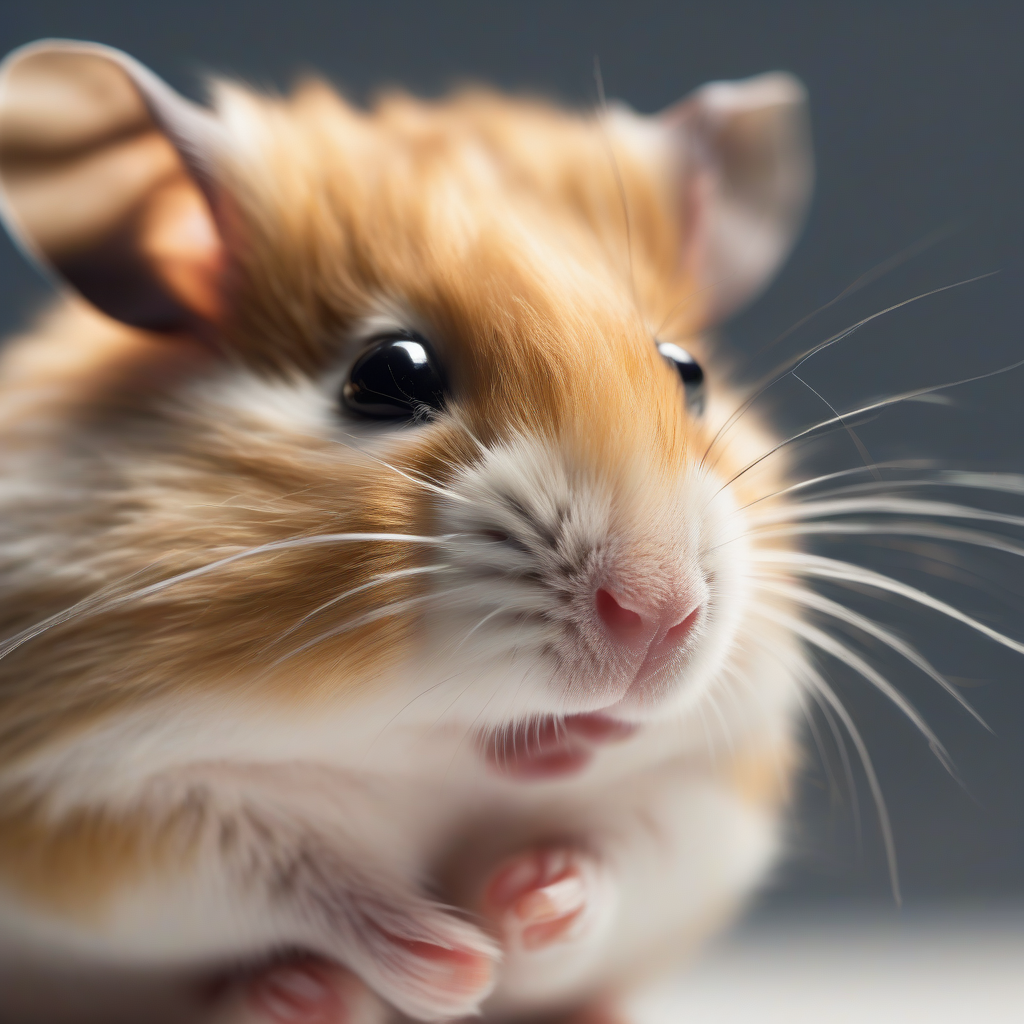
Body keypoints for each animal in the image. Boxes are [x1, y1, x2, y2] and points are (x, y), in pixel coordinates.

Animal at [0, 36, 878, 1024]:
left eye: (688, 373)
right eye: (388, 374)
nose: (659, 617)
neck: (429, 749)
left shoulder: (711, 793)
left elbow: (624, 858)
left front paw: (522, 909)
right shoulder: (85, 807)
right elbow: (277, 869)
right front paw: (456, 962)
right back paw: (298, 994)